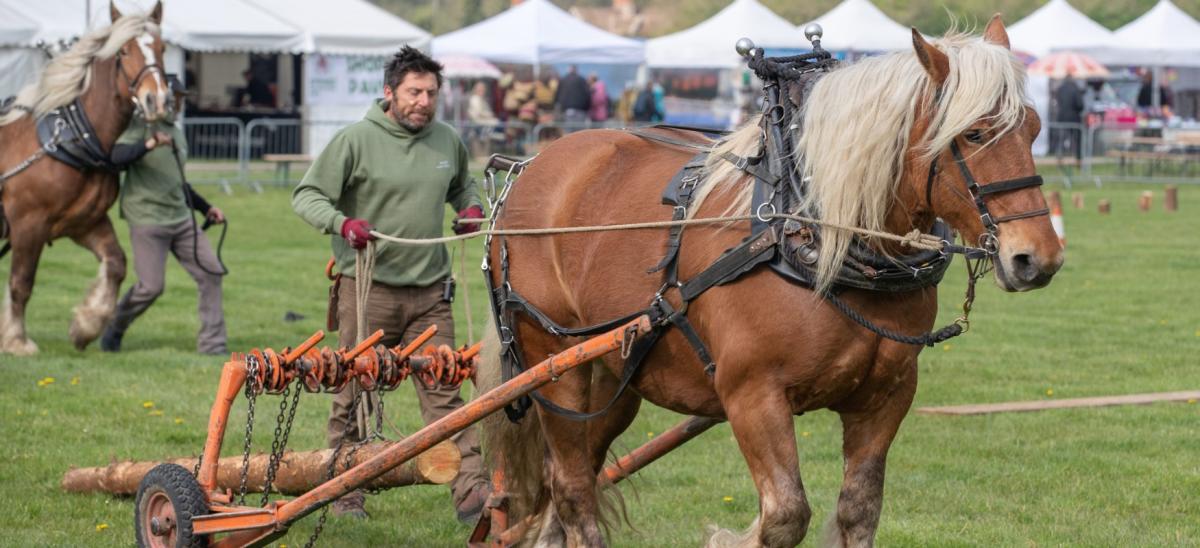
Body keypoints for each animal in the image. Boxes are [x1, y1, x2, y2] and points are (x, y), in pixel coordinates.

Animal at [0, 3, 169, 354]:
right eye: (124, 51)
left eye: (162, 49)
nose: (156, 100)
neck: (69, 138)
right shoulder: (27, 223)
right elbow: (21, 282)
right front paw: (17, 341)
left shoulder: (84, 222)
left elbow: (116, 264)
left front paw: (86, 326)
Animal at [477, 18, 1060, 546]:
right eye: (974, 134)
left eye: (1033, 129)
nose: (1038, 258)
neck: (813, 232)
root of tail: (530, 166)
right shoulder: (752, 394)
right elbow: (784, 516)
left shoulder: (886, 395)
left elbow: (859, 511)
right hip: (554, 366)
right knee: (573, 488)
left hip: (615, 375)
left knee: (568, 486)